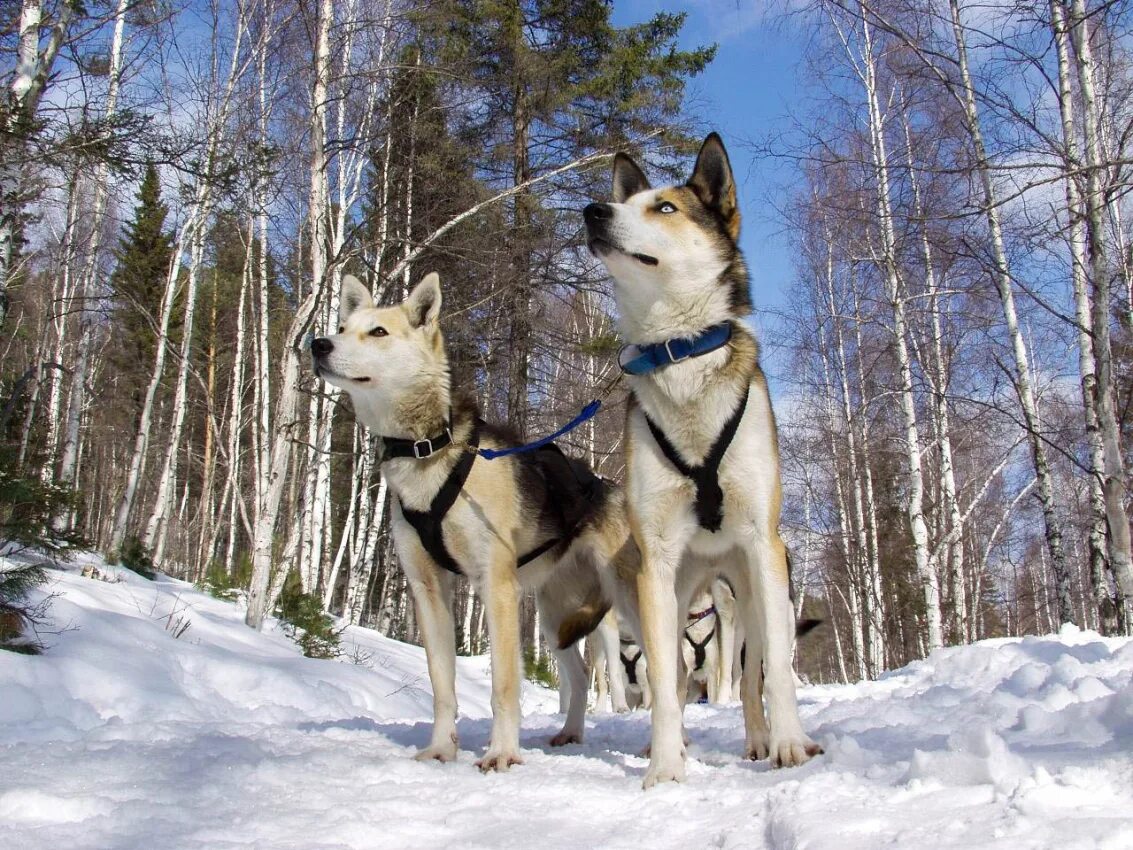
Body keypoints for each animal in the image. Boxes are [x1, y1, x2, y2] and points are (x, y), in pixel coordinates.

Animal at [310, 274, 629, 770]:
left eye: (378, 331)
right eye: (342, 327)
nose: (318, 343)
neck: (428, 447)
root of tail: (608, 486)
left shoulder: (495, 587)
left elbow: (504, 687)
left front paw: (502, 753)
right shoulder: (428, 590)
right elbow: (442, 685)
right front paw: (442, 748)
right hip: (555, 620)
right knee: (577, 678)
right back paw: (571, 732)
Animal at [589, 133, 820, 793]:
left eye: (664, 208)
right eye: (627, 201)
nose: (593, 211)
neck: (679, 353)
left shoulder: (763, 545)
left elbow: (775, 678)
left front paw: (789, 744)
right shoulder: (658, 563)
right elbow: (663, 687)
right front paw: (666, 765)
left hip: (751, 595)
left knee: (753, 678)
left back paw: (763, 740)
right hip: (668, 595)